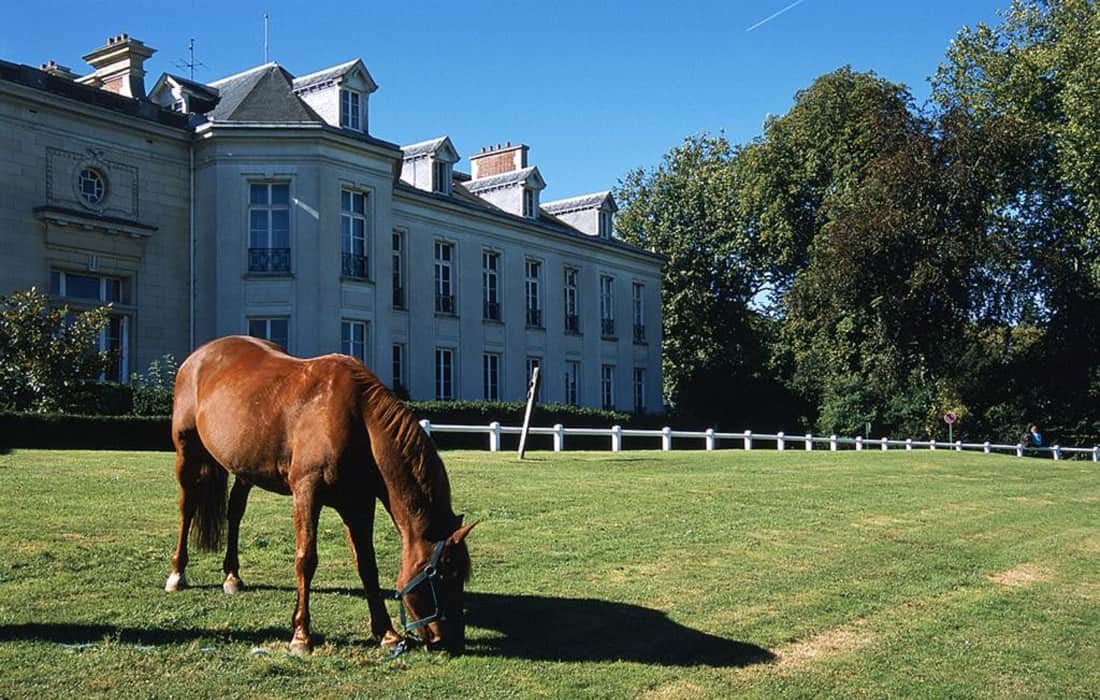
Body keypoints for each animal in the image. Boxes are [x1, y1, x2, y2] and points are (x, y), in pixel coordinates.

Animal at [165, 336, 475, 651]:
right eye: (442, 573)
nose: (452, 640)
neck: (356, 419)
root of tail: (200, 355)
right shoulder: (306, 493)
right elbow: (306, 559)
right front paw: (301, 635)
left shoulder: (358, 504)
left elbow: (367, 563)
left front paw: (387, 633)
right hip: (187, 453)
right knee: (187, 508)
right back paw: (177, 574)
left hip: (244, 468)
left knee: (235, 512)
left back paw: (232, 576)